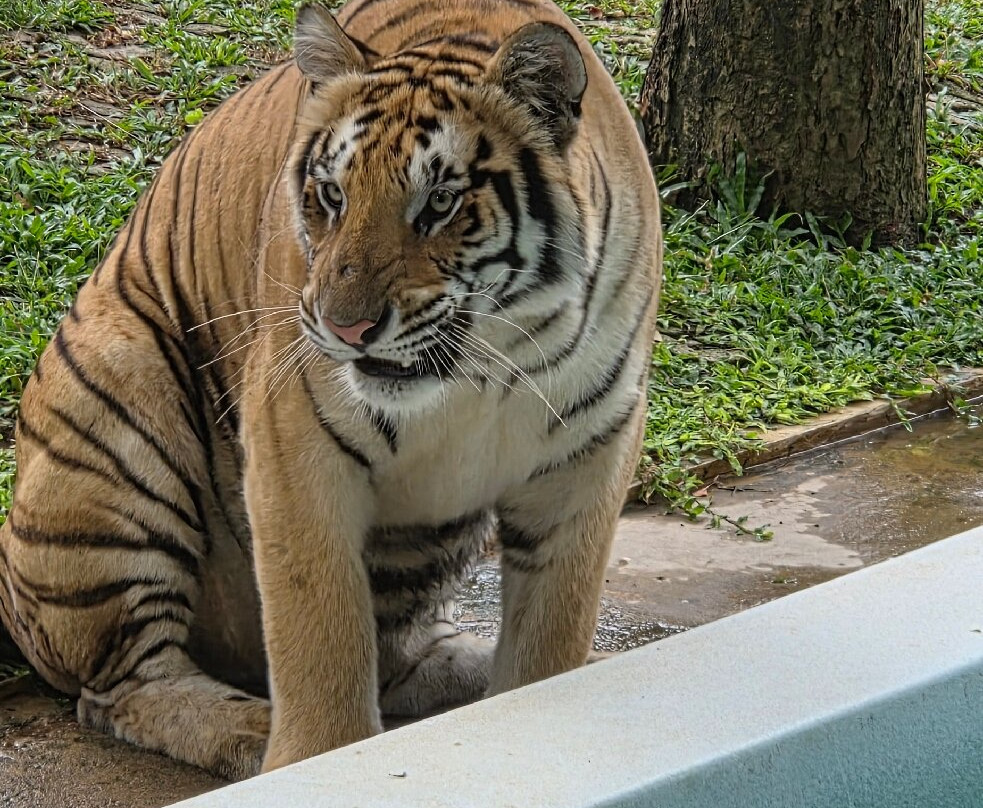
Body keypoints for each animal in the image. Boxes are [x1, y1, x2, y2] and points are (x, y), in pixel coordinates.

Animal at [0, 0, 662, 780]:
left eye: (440, 202)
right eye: (332, 195)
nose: (349, 329)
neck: (488, 362)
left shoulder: (588, 451)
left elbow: (552, 636)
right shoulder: (293, 440)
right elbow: (321, 632)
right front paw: (315, 760)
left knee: (397, 654)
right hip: (115, 419)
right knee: (120, 688)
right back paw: (251, 730)